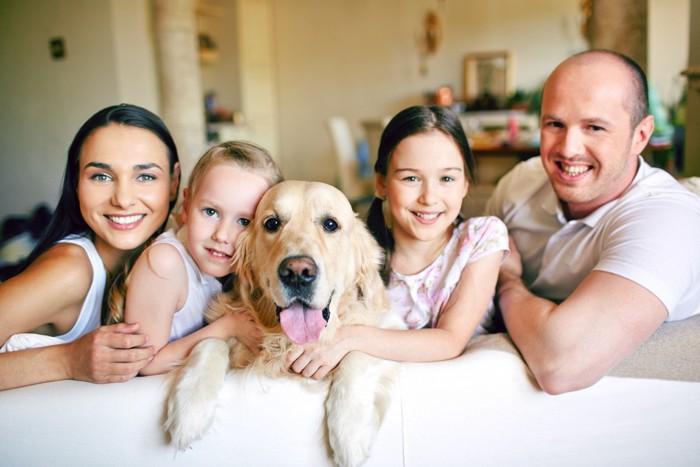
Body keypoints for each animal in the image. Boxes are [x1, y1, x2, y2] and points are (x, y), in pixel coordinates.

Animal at [165, 181, 402, 467]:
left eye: (330, 224)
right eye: (272, 223)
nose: (297, 272)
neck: (287, 341)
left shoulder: (390, 326)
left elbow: (358, 352)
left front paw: (350, 432)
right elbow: (210, 341)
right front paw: (190, 407)